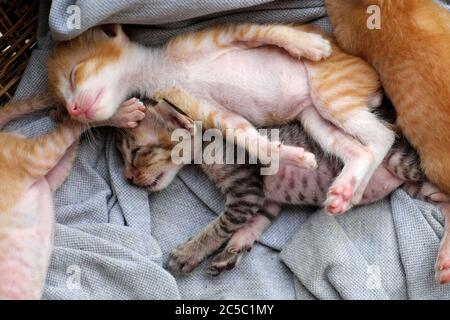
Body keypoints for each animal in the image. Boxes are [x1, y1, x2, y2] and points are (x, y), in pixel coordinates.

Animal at [47, 23, 396, 215]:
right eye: (63, 101)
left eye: (74, 74)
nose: (73, 110)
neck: (162, 70)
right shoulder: (212, 112)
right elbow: (249, 138)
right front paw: (286, 154)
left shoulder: (230, 33)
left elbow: (269, 31)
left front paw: (308, 44)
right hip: (314, 118)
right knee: (362, 148)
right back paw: (346, 191)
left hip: (330, 93)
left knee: (384, 135)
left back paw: (357, 188)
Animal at [116, 100, 450, 282]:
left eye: (136, 151)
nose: (128, 178)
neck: (209, 143)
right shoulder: (265, 201)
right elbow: (253, 225)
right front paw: (234, 250)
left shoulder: (246, 191)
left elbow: (217, 227)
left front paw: (188, 253)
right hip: (415, 185)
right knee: (444, 205)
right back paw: (444, 258)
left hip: (401, 161)